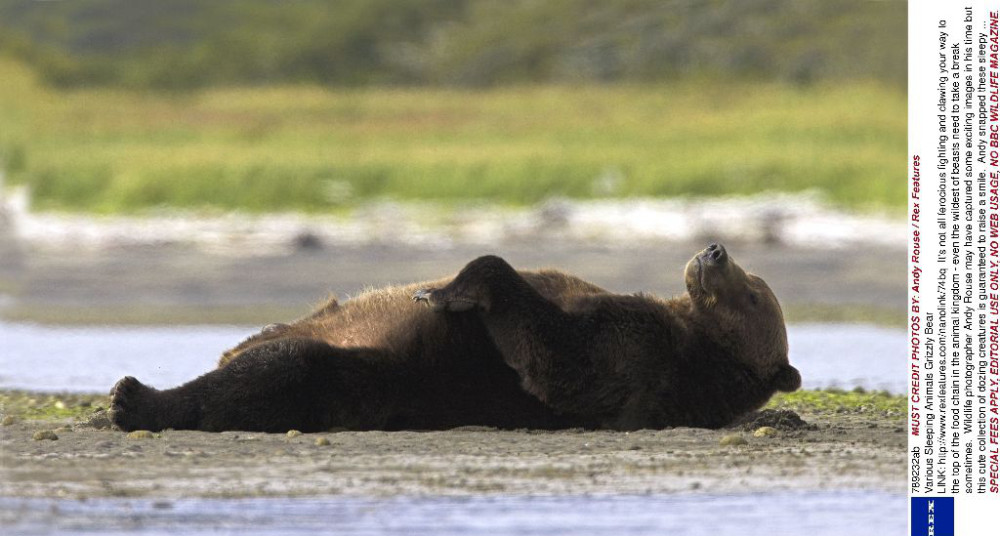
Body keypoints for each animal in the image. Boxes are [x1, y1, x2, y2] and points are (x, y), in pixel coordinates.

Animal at [109, 245, 800, 434]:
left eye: (754, 294)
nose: (715, 250)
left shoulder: (636, 356)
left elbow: (556, 358)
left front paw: (443, 293)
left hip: (362, 374)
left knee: (275, 374)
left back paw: (132, 397)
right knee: (270, 343)